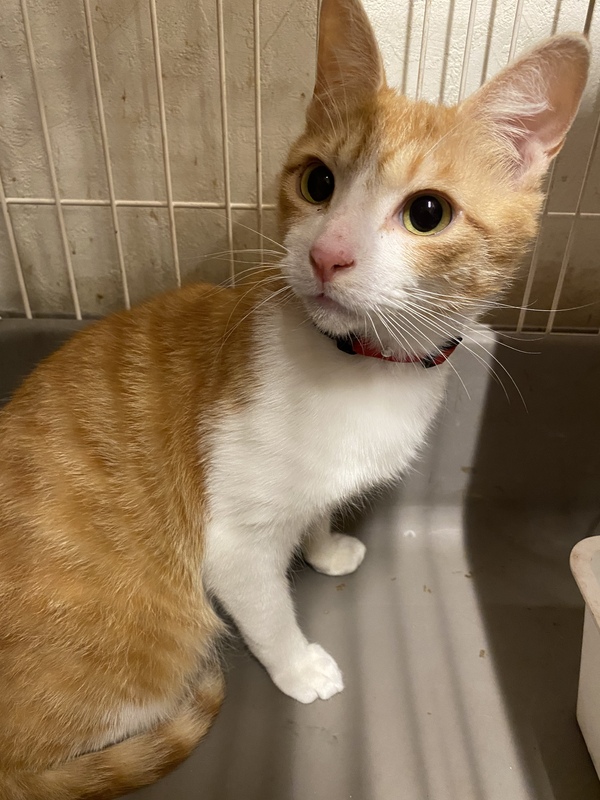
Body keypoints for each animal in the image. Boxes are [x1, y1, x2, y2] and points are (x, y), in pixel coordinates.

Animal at [0, 0, 589, 797]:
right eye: (318, 183)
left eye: (427, 212)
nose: (325, 254)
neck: (361, 369)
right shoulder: (233, 542)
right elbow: (267, 608)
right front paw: (300, 665)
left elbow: (317, 507)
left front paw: (325, 545)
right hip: (151, 649)